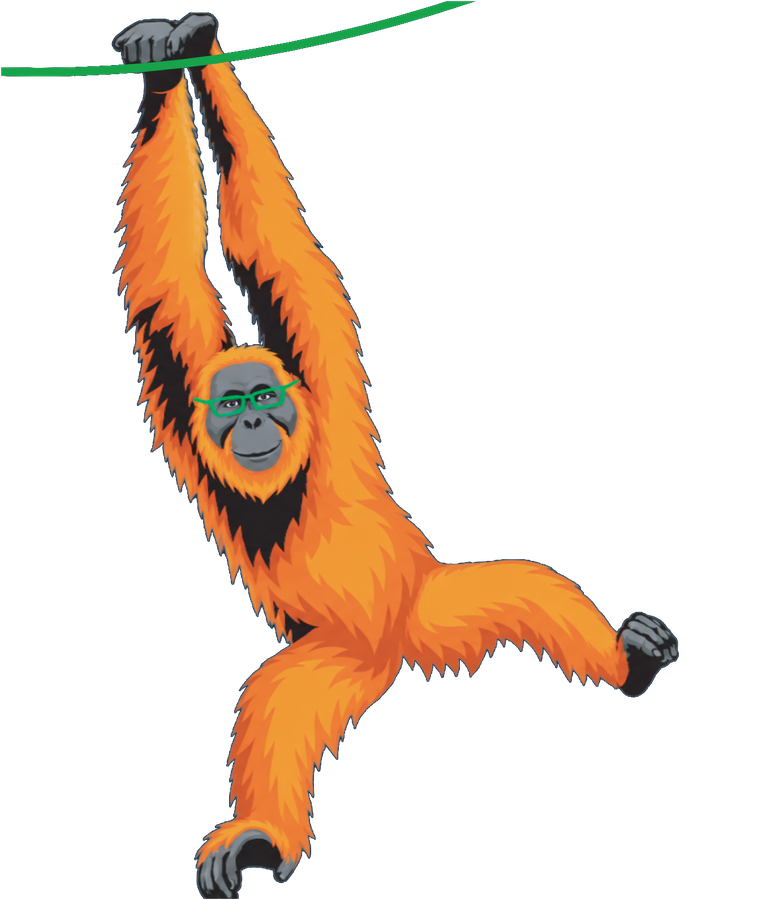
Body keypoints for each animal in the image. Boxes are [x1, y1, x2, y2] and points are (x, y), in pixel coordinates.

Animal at [112, 13, 679, 898]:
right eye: (230, 407)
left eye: (264, 397)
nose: (253, 422)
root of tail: (399, 650)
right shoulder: (179, 376)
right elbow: (166, 281)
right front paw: (163, 67)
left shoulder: (311, 369)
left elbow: (267, 247)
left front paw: (191, 52)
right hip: (337, 659)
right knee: (276, 707)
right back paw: (264, 836)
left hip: (426, 601)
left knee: (533, 589)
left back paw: (626, 663)